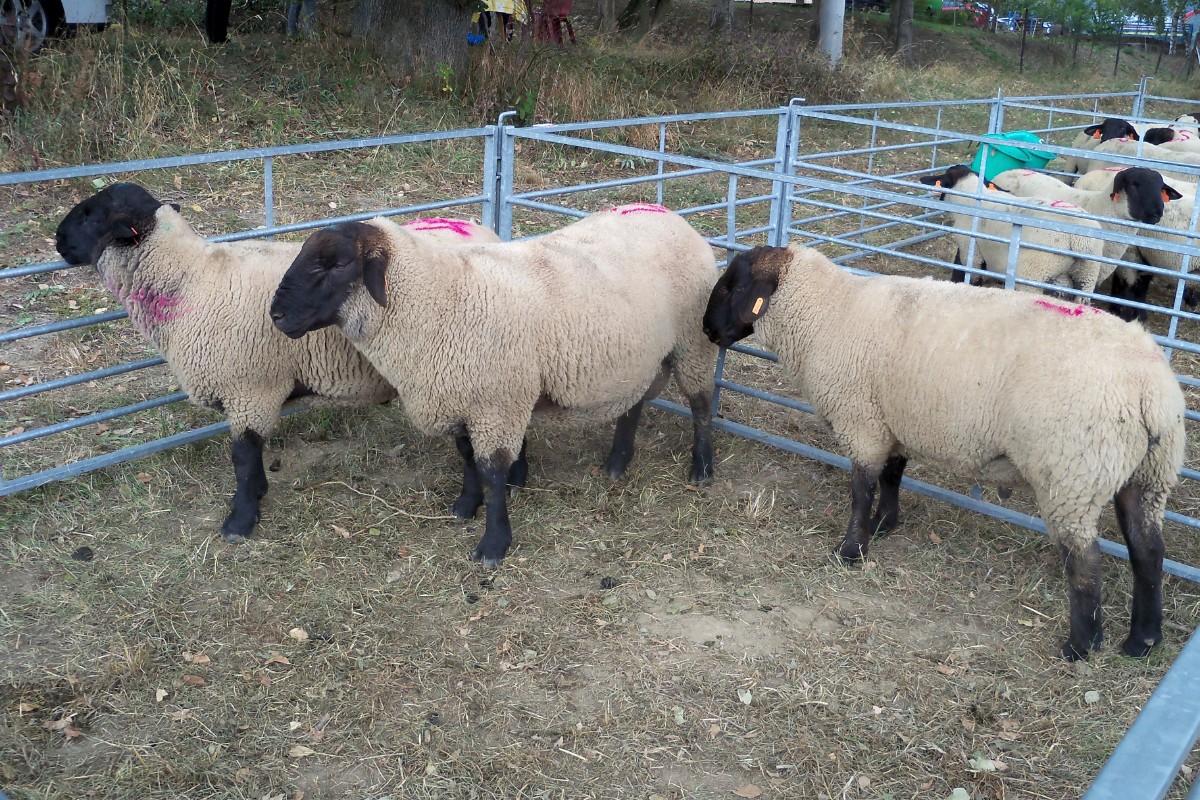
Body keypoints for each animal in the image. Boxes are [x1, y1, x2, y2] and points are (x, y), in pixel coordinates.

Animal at [54, 182, 499, 542]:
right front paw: (257, 494)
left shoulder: (249, 388)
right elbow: (250, 456)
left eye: (91, 213)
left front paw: (240, 520)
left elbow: (243, 456)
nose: (57, 239)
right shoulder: (249, 393)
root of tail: (478, 227)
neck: (187, 280)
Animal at [269, 204, 719, 566]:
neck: (438, 298)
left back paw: (701, 469)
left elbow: (492, 470)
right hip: (641, 356)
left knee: (701, 405)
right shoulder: (462, 397)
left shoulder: (496, 403)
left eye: (335, 264)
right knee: (634, 402)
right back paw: (616, 463)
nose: (276, 315)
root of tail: (670, 215)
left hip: (693, 344)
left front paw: (494, 544)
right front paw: (466, 506)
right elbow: (467, 458)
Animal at [702, 243, 1185, 660]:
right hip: (1147, 474)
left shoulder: (863, 422)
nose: (706, 329)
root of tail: (1152, 390)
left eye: (733, 287)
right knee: (1148, 552)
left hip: (1072, 473)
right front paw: (885, 524)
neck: (827, 312)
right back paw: (1142, 641)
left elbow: (860, 489)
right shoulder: (893, 421)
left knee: (1085, 562)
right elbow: (891, 476)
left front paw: (851, 549)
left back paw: (1081, 647)